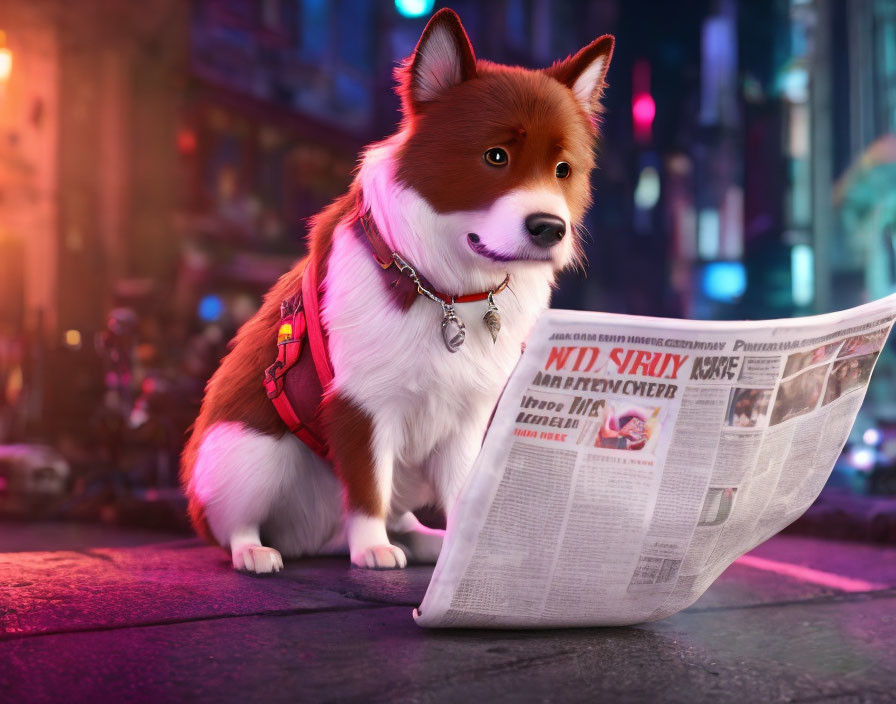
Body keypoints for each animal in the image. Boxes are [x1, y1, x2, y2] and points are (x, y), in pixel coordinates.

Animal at [178, 9, 612, 572]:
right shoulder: (360, 404)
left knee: (401, 511)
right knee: (235, 522)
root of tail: (316, 539)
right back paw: (256, 550)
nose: (550, 229)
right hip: (247, 452)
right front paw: (372, 549)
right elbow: (367, 489)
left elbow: (460, 491)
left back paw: (423, 539)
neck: (445, 290)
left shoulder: (467, 417)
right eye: (495, 156)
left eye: (564, 170)